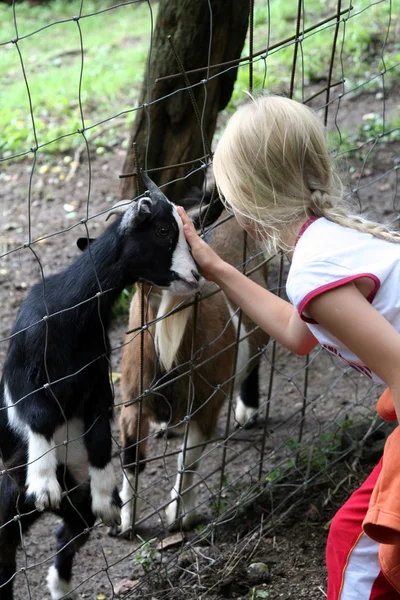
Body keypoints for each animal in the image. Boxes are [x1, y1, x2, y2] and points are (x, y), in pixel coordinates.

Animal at [0, 175, 211, 600]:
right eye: (163, 231)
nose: (196, 275)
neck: (71, 314)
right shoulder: (23, 375)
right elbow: (40, 415)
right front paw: (43, 482)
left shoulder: (97, 380)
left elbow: (99, 435)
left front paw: (106, 498)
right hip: (6, 502)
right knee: (6, 555)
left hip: (72, 506)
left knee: (68, 533)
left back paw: (61, 585)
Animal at [115, 205, 268, 528]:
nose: (190, 276)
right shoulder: (132, 405)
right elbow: (133, 461)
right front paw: (126, 521)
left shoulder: (206, 407)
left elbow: (188, 461)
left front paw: (181, 516)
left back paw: (248, 410)